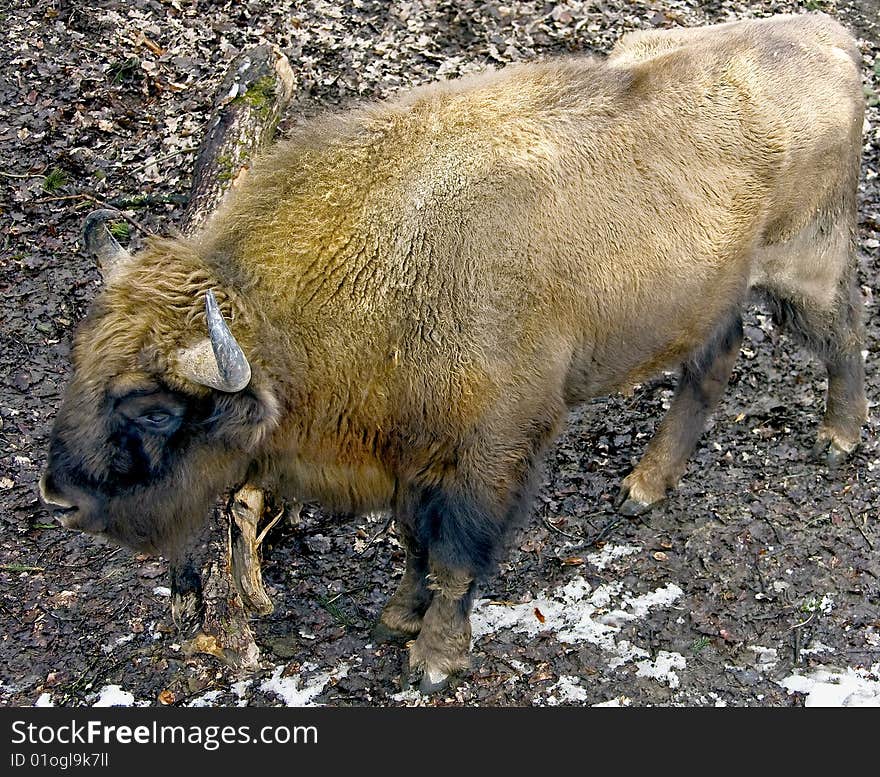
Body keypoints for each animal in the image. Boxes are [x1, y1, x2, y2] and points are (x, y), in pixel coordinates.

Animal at [39, 13, 868, 692]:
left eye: (154, 407)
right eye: (82, 359)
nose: (57, 495)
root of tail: (832, 38)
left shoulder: (488, 451)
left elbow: (455, 555)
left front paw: (434, 658)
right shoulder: (413, 454)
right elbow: (414, 544)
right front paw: (397, 617)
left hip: (803, 264)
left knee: (847, 330)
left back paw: (836, 438)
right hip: (709, 296)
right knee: (716, 361)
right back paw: (644, 485)